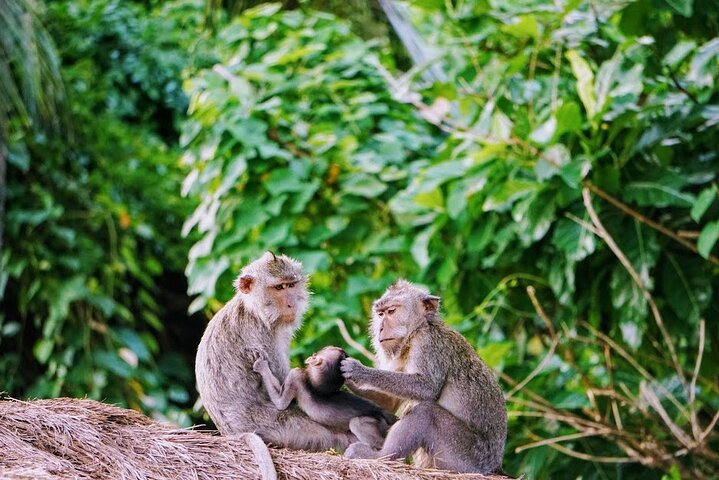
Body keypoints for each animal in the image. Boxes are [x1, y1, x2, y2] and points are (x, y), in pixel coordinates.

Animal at [195, 252, 356, 452]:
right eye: (279, 287)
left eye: (291, 285)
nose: (291, 304)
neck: (255, 311)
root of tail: (232, 434)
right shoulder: (263, 337)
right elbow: (284, 395)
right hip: (279, 428)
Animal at [253, 346, 396, 449]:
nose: (312, 355)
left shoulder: (296, 375)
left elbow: (281, 404)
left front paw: (262, 367)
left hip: (375, 423)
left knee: (357, 424)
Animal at [340, 279, 507, 474]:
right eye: (380, 314)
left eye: (391, 311)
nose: (381, 327)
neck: (416, 331)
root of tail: (494, 466)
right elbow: (391, 401)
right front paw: (350, 383)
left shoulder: (427, 344)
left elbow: (427, 387)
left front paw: (358, 371)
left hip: (466, 457)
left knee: (426, 413)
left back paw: (380, 456)